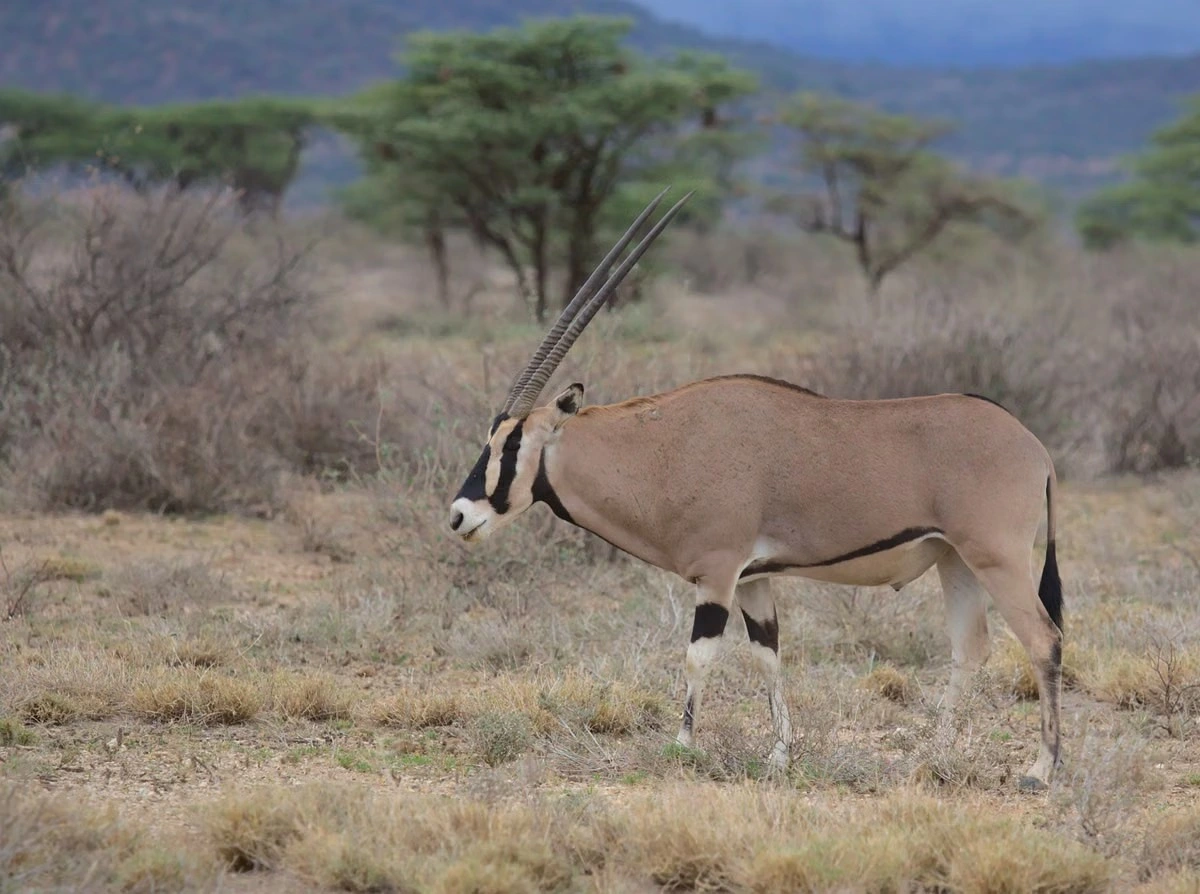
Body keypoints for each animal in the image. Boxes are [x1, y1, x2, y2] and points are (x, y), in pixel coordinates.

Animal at [449, 189, 1065, 790]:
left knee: (1043, 639)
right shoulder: (753, 579)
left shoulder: (718, 573)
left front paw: (683, 747)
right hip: (955, 559)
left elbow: (699, 657)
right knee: (970, 648)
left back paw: (1041, 768)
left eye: (511, 443)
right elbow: (768, 656)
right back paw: (933, 756)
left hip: (998, 557)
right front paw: (779, 756)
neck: (663, 447)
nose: (458, 516)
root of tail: (1036, 448)